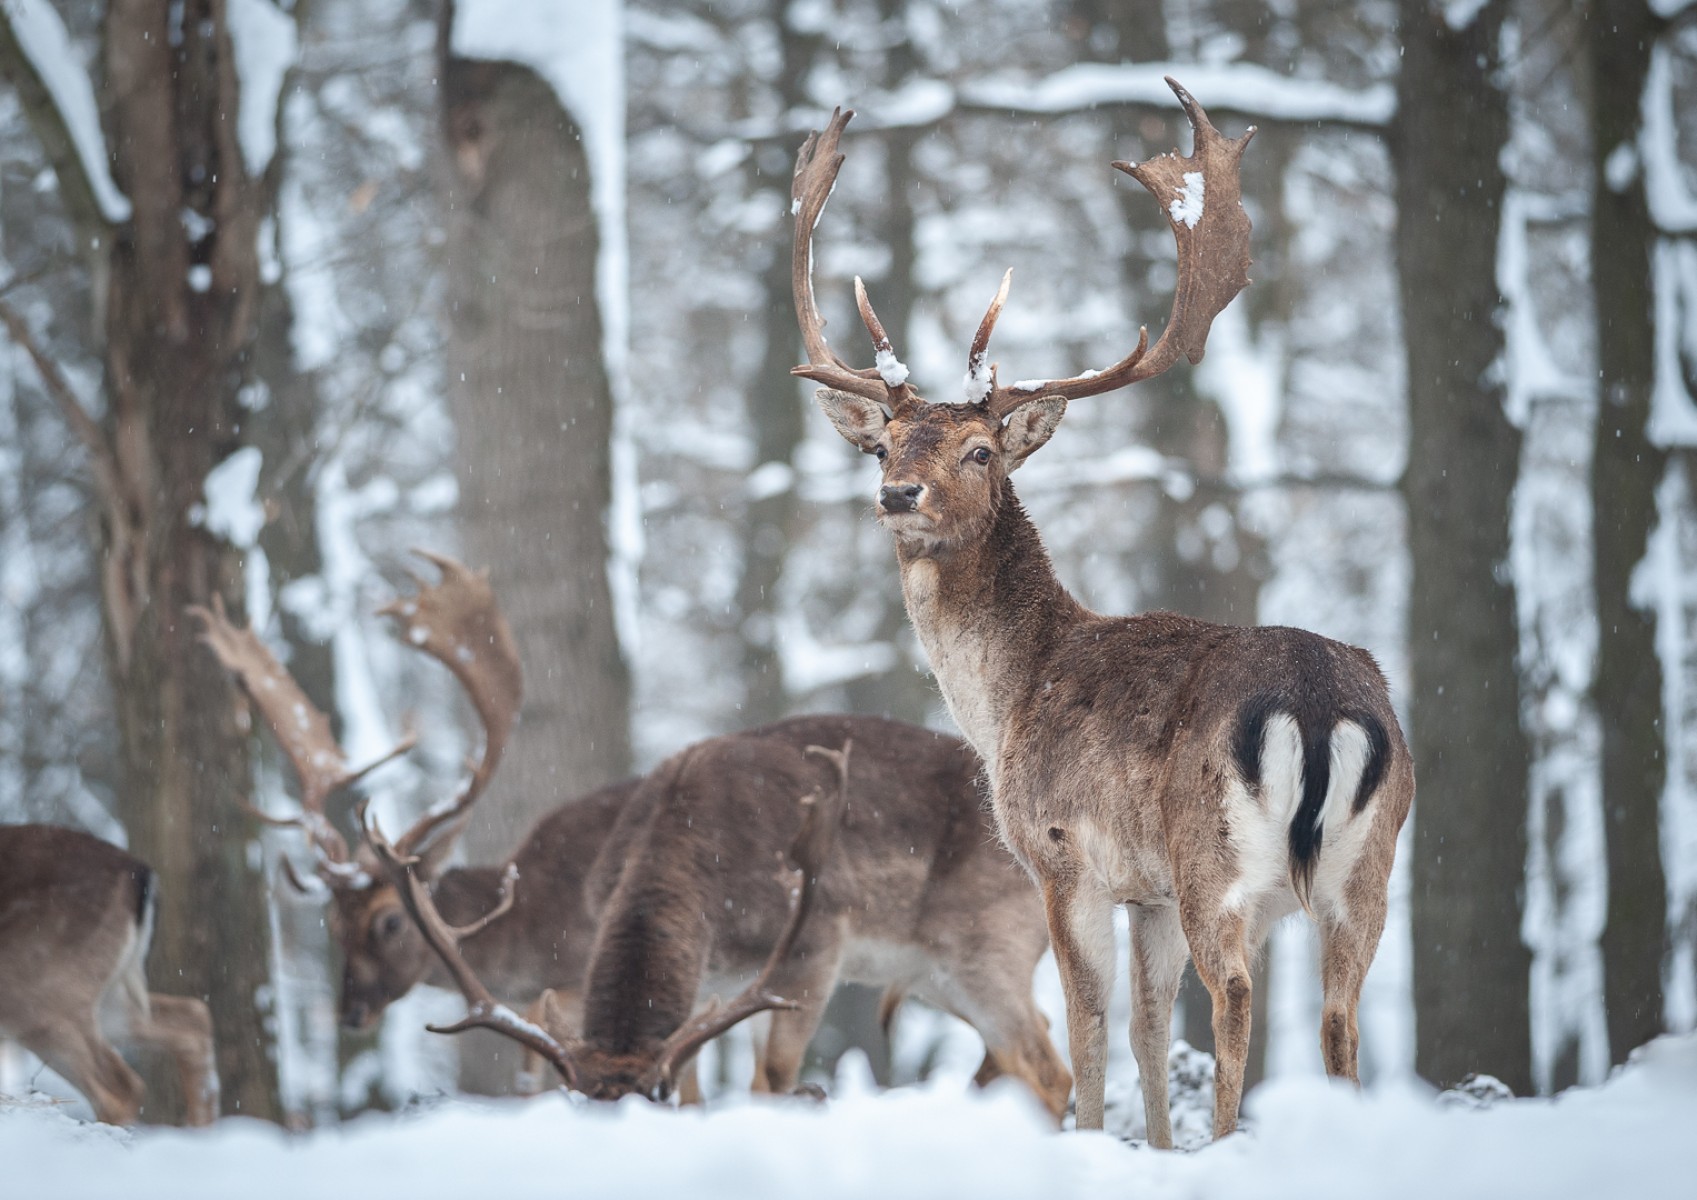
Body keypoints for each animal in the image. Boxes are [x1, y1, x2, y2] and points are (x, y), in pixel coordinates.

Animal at [794, 79, 1418, 1140]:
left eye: (980, 451)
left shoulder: (1063, 855)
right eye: (882, 445)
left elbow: (1086, 1028)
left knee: (1236, 994)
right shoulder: (1148, 892)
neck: (1008, 697)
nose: (896, 496)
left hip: (1216, 857)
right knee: (1338, 1017)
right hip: (1367, 868)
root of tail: (1321, 705)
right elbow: (1145, 1028)